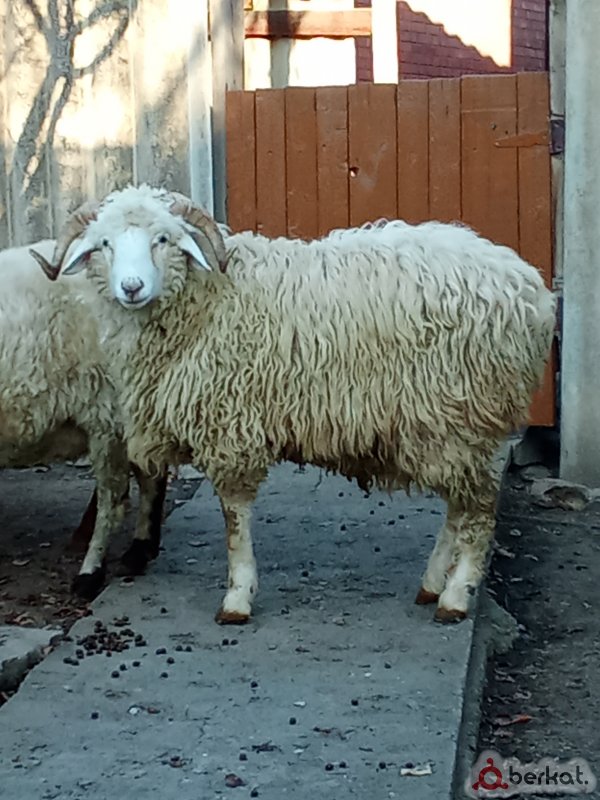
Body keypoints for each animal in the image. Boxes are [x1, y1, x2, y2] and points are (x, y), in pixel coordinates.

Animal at [34, 184, 556, 624]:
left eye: (163, 238)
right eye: (104, 244)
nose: (132, 287)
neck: (208, 299)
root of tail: (531, 290)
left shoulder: (230, 425)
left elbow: (234, 518)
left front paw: (237, 597)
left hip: (462, 414)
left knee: (480, 506)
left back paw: (455, 596)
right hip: (445, 424)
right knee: (458, 505)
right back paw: (432, 584)